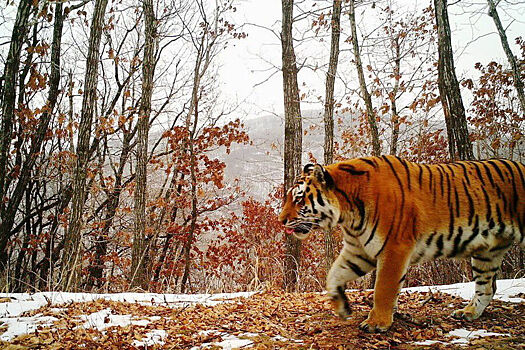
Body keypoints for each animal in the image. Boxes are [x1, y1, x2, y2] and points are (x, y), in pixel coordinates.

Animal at [276, 157, 520, 334]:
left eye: (298, 200)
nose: (281, 221)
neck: (348, 213)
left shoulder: (394, 248)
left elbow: (383, 288)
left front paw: (376, 323)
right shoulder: (358, 251)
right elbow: (334, 274)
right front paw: (341, 307)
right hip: (487, 252)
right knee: (487, 287)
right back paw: (468, 313)